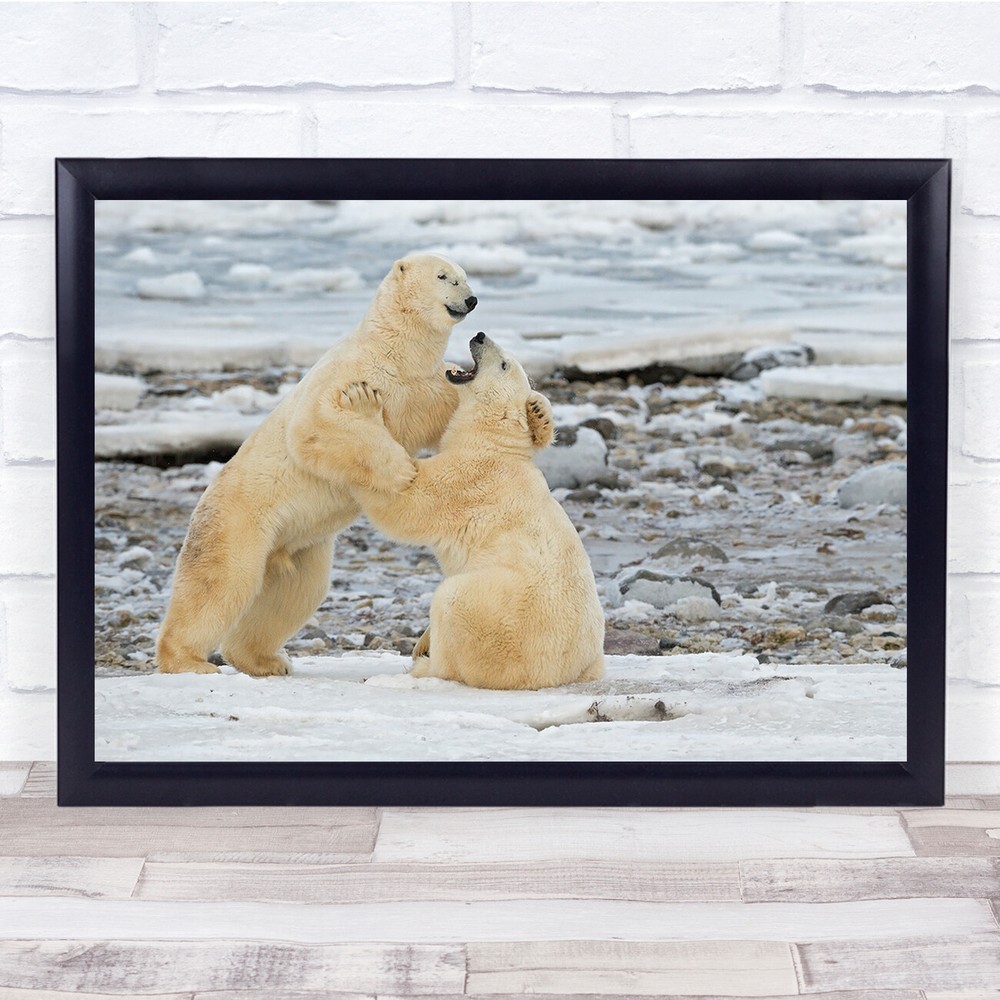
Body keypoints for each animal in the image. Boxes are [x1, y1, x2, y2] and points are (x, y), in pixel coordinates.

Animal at [155, 252, 477, 677]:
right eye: (444, 276)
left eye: (464, 276)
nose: (471, 299)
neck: (394, 352)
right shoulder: (353, 375)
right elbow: (316, 424)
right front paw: (401, 470)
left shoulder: (425, 387)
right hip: (238, 523)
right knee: (221, 581)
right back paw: (190, 661)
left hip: (300, 544)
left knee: (295, 594)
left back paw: (266, 660)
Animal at [339, 332, 605, 690]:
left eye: (504, 364)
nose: (479, 336)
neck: (492, 442)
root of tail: (559, 674)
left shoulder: (466, 480)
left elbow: (407, 503)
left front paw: (362, 403)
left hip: (498, 615)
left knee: (452, 604)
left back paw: (426, 664)